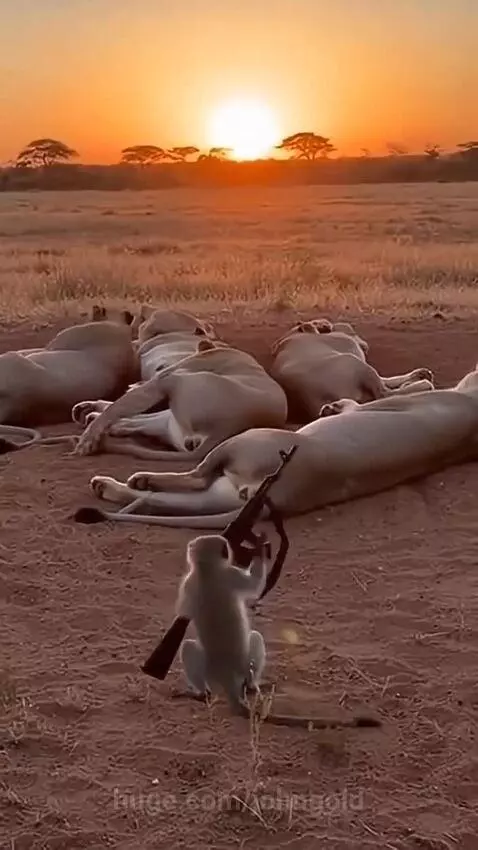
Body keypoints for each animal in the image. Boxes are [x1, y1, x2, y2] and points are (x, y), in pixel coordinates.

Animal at [85, 362, 478, 528]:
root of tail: (278, 493)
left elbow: (361, 402)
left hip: (245, 440)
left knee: (191, 476)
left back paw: (135, 477)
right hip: (218, 494)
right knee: (163, 498)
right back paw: (109, 487)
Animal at [174, 534, 382, 730]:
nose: (228, 548)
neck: (206, 569)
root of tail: (227, 676)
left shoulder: (198, 580)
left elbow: (185, 613)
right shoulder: (222, 575)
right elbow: (254, 585)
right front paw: (259, 548)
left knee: (198, 647)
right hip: (234, 667)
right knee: (246, 640)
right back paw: (224, 690)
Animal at [269, 319, 434, 421]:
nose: (326, 323)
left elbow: (387, 379)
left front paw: (419, 374)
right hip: (353, 362)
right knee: (384, 393)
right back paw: (423, 384)